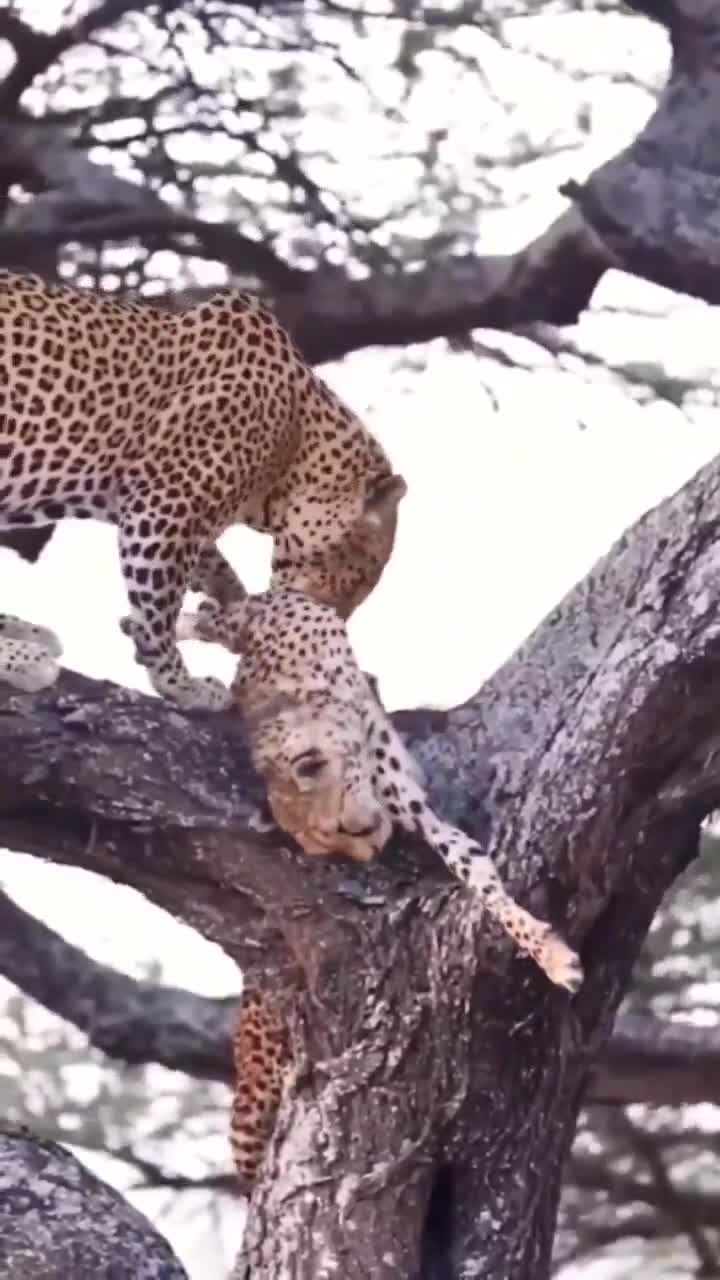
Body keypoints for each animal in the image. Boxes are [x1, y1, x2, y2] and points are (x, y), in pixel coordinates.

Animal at [0, 271, 406, 709]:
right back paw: (23, 657)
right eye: (355, 578)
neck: (296, 437)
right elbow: (158, 609)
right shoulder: (165, 506)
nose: (333, 622)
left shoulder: (138, 500)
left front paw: (229, 602)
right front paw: (181, 684)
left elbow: (211, 563)